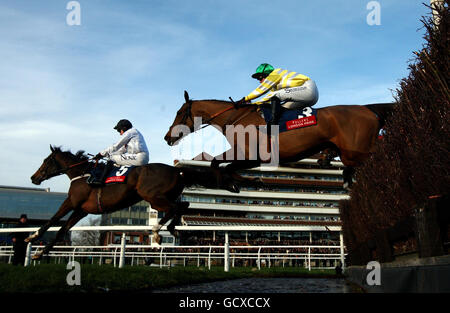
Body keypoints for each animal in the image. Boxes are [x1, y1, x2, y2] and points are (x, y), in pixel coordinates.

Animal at [28, 144, 239, 258]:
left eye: (46, 161)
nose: (33, 177)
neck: (82, 173)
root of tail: (176, 170)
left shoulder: (72, 202)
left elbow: (53, 220)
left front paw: (32, 237)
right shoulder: (82, 210)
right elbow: (61, 230)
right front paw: (40, 253)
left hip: (152, 196)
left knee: (176, 207)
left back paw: (158, 231)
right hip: (161, 197)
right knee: (182, 206)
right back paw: (170, 229)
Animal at [165, 91, 394, 186]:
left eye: (179, 112)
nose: (167, 137)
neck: (235, 118)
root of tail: (368, 109)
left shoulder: (252, 157)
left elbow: (220, 165)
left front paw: (235, 183)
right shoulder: (249, 158)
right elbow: (219, 165)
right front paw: (246, 182)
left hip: (356, 151)